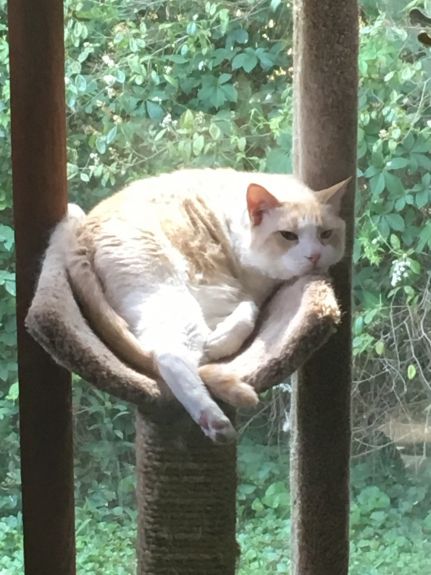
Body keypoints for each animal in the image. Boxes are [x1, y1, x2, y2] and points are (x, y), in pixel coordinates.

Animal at [66, 169, 352, 444]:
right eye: (288, 236)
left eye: (326, 234)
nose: (314, 256)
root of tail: (82, 235)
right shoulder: (218, 289)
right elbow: (245, 310)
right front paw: (218, 343)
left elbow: (247, 311)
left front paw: (221, 340)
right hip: (176, 302)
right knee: (169, 356)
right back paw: (213, 418)